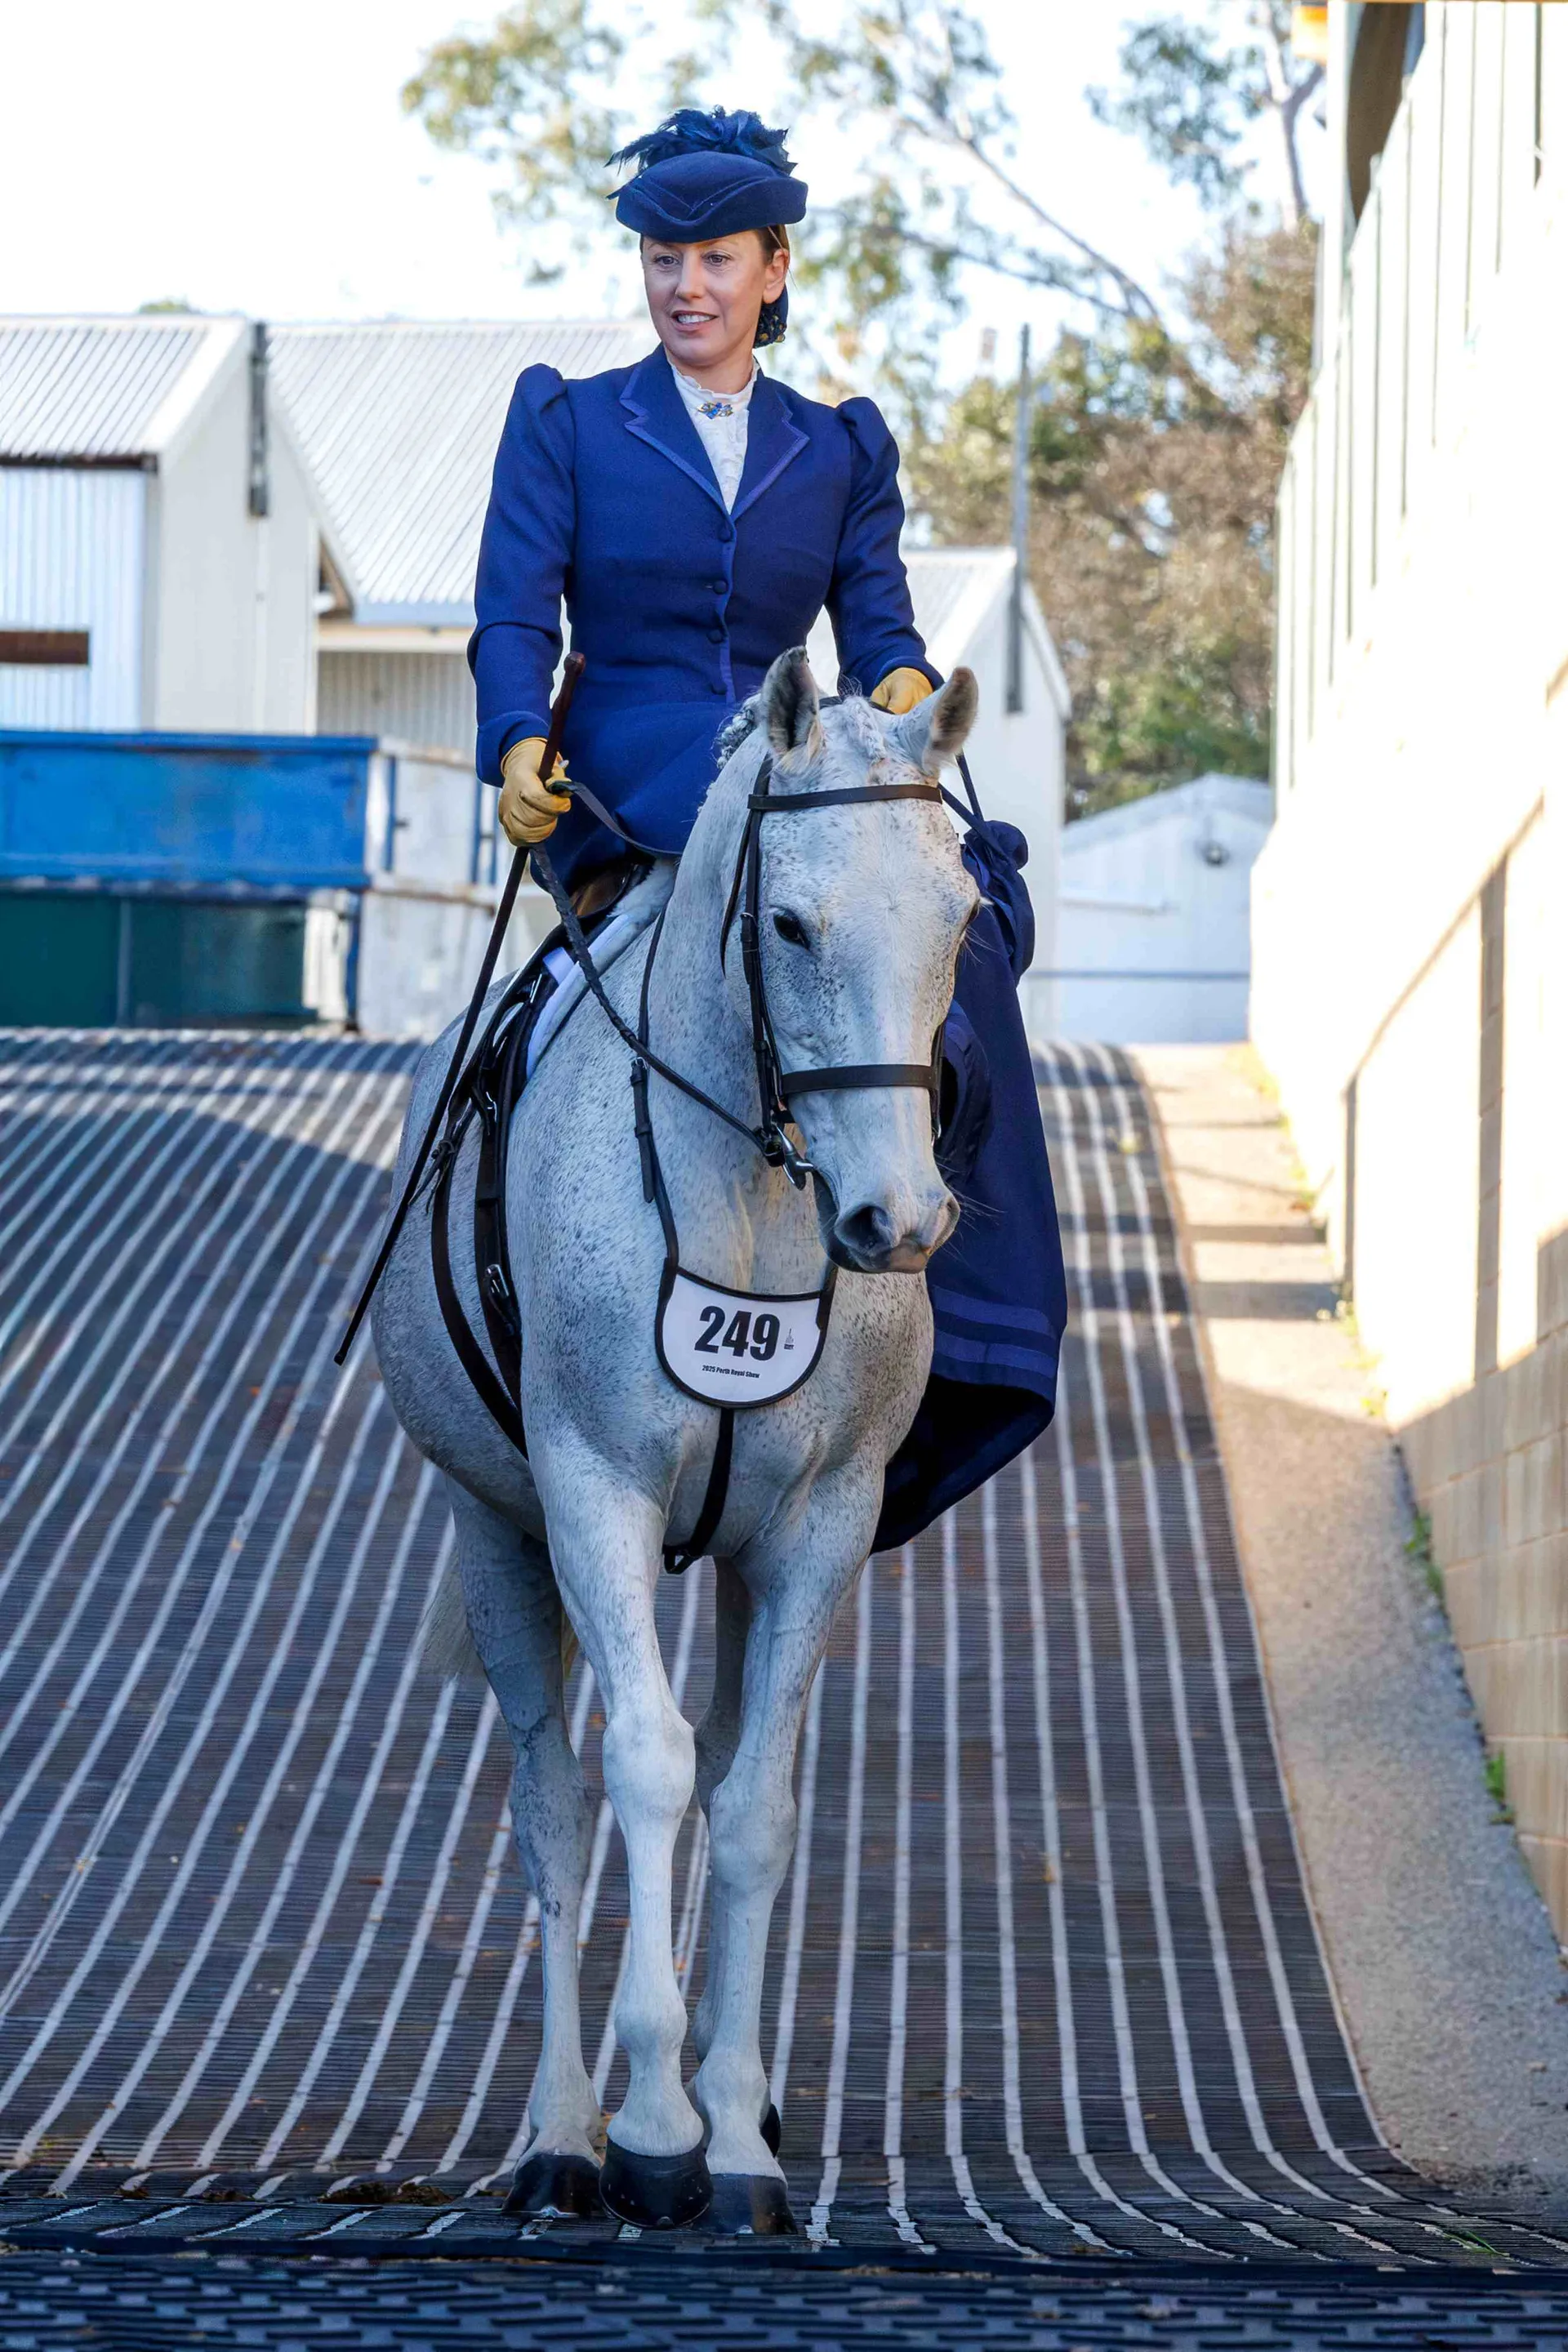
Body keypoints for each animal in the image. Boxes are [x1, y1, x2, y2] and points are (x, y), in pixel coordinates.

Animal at [372, 646, 980, 2233]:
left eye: (962, 915)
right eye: (791, 921)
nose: (898, 1221)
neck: (752, 1199)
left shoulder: (823, 1525)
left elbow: (752, 1801)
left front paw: (736, 2140)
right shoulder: (593, 1495)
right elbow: (639, 1770)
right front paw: (648, 2126)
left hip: (744, 1563)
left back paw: (733, 2093)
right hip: (499, 1535)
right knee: (555, 1808)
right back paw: (562, 2132)